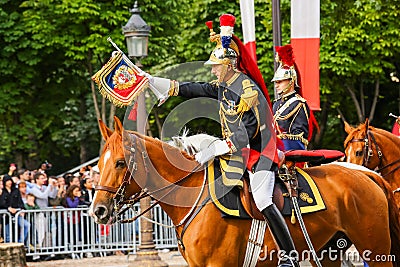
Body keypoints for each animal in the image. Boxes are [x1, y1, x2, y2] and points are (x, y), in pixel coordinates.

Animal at [90, 118, 400, 267]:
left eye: (120, 163)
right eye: (100, 163)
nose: (98, 210)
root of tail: (368, 175)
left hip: (375, 250)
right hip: (327, 253)